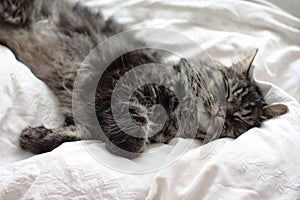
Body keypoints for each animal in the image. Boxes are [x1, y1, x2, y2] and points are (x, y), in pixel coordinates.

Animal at [0, 0, 288, 159]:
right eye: (226, 90)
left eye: (238, 119)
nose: (222, 111)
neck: (178, 116)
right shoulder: (118, 81)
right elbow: (133, 129)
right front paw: (132, 142)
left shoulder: (88, 115)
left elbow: (75, 134)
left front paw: (34, 137)